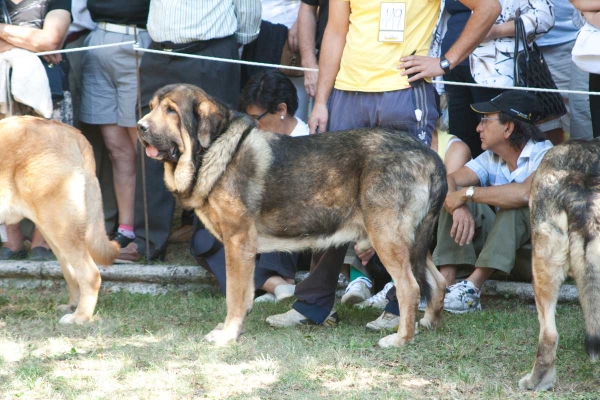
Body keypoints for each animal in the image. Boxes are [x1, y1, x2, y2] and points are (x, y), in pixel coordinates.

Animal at [0, 115, 119, 324]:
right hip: (55, 229)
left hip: (58, 224)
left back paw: (80, 317)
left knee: (90, 274)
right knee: (72, 273)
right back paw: (72, 306)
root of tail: (73, 133)